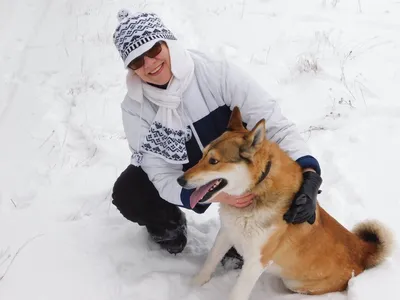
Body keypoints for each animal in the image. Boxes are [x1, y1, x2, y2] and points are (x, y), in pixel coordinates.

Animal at [177, 106, 392, 298]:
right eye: (202, 155)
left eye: (213, 161)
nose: (180, 180)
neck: (257, 188)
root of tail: (362, 251)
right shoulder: (226, 233)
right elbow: (210, 262)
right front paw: (193, 286)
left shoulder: (256, 261)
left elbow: (237, 293)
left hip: (296, 284)